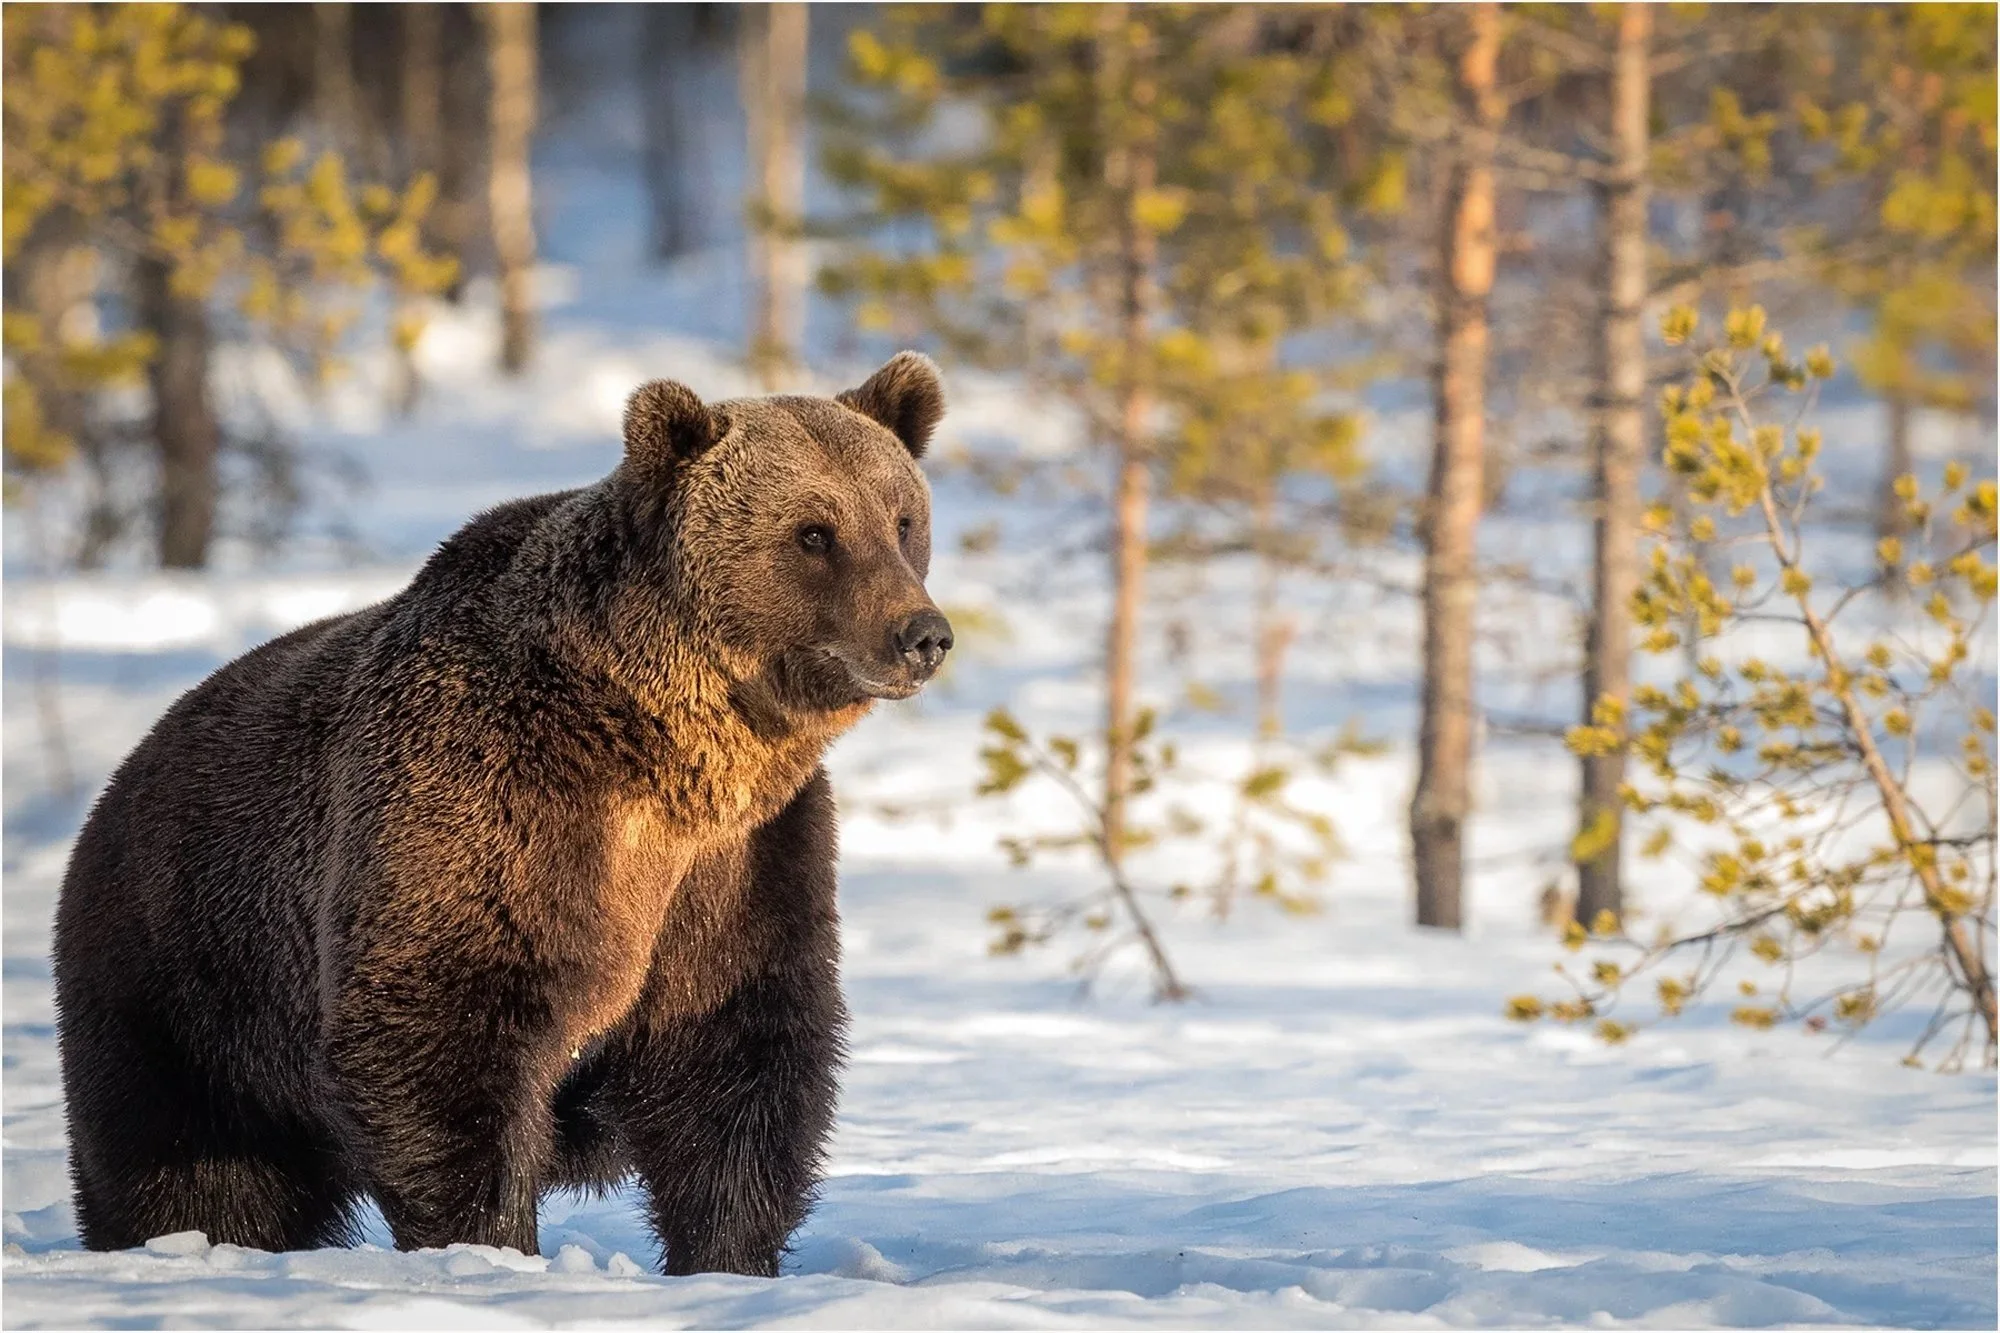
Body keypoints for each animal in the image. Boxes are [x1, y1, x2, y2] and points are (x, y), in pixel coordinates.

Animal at [50, 353, 954, 1277]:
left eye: (902, 518)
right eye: (813, 532)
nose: (921, 633)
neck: (661, 754)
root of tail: (123, 775)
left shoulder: (742, 862)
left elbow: (734, 1059)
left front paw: (728, 1257)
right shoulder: (487, 805)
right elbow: (444, 1035)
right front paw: (491, 1243)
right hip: (190, 987)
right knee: (191, 1167)